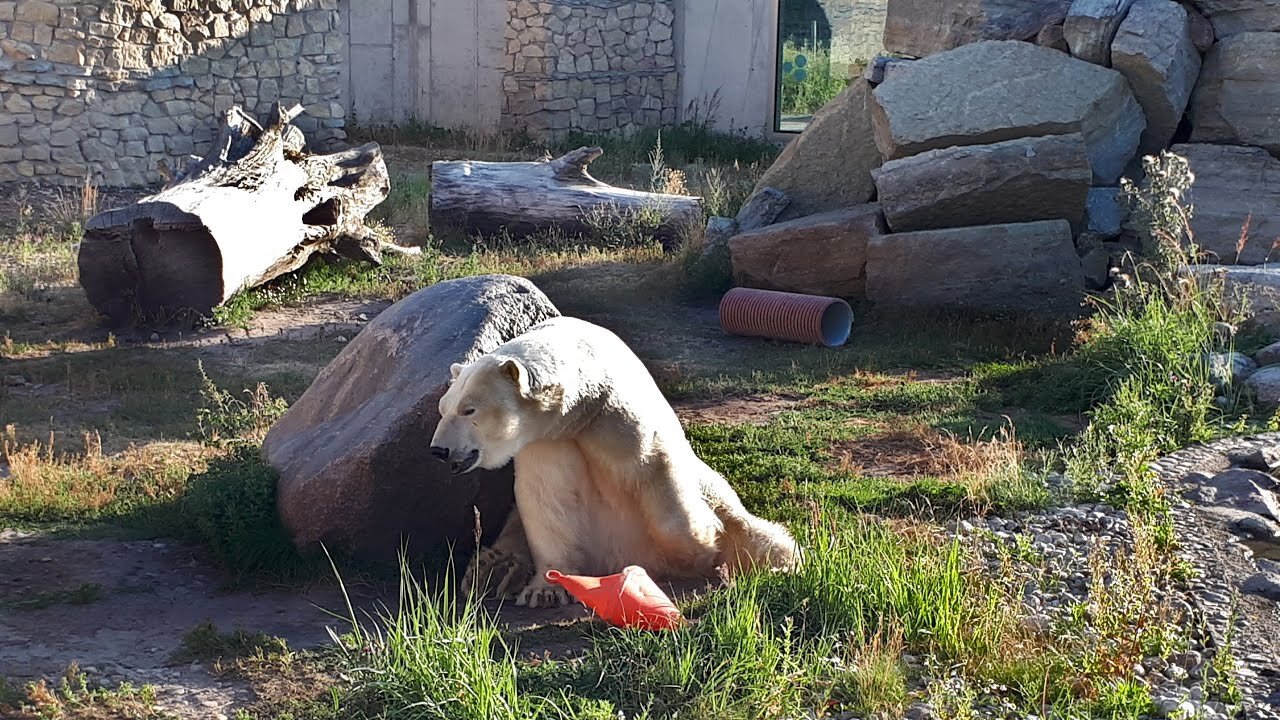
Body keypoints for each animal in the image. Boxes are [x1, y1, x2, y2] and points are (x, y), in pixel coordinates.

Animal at [430, 316, 798, 602]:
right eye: (443, 408)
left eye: (469, 410)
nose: (439, 450)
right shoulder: (546, 442)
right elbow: (546, 501)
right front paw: (545, 591)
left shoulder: (617, 417)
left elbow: (659, 472)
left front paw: (700, 546)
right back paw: (495, 571)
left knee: (759, 535)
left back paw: (781, 564)